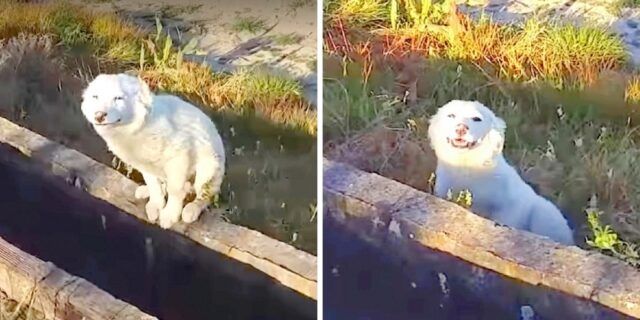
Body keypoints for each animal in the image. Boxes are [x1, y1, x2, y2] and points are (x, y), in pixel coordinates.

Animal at [80, 74, 225, 229]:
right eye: (95, 97)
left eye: (118, 98)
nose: (99, 116)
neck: (137, 127)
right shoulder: (144, 163)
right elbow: (153, 184)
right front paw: (156, 205)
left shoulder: (179, 157)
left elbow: (175, 189)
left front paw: (170, 215)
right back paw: (146, 191)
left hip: (208, 168)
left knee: (205, 196)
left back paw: (192, 209)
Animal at [428, 100, 572, 245]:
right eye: (451, 115)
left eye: (477, 119)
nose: (461, 128)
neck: (464, 168)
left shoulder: (510, 208)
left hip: (545, 214)